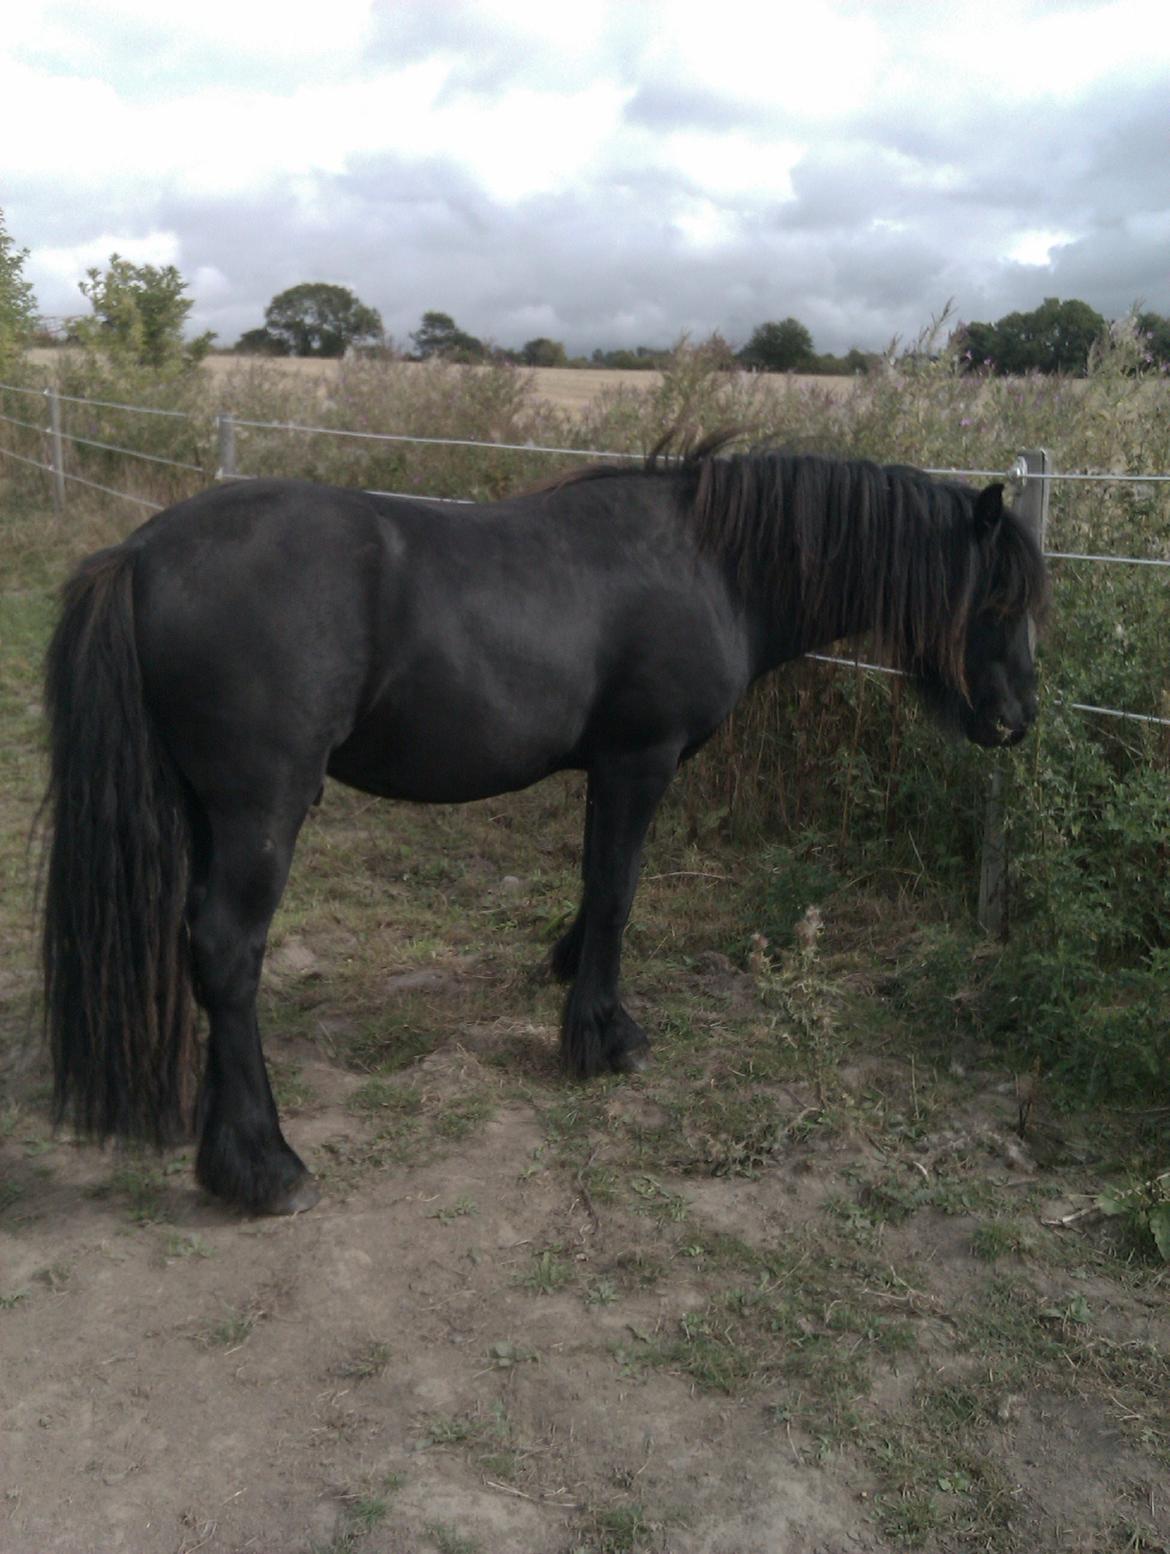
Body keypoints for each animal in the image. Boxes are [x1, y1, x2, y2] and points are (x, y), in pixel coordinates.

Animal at [41, 434, 1048, 1215]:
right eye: (997, 601)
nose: (1016, 720)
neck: (712, 565)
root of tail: (141, 553)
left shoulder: (611, 769)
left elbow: (595, 882)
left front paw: (567, 972)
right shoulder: (640, 759)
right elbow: (618, 891)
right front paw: (604, 1034)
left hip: (204, 808)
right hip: (261, 806)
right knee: (226, 950)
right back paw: (264, 1164)